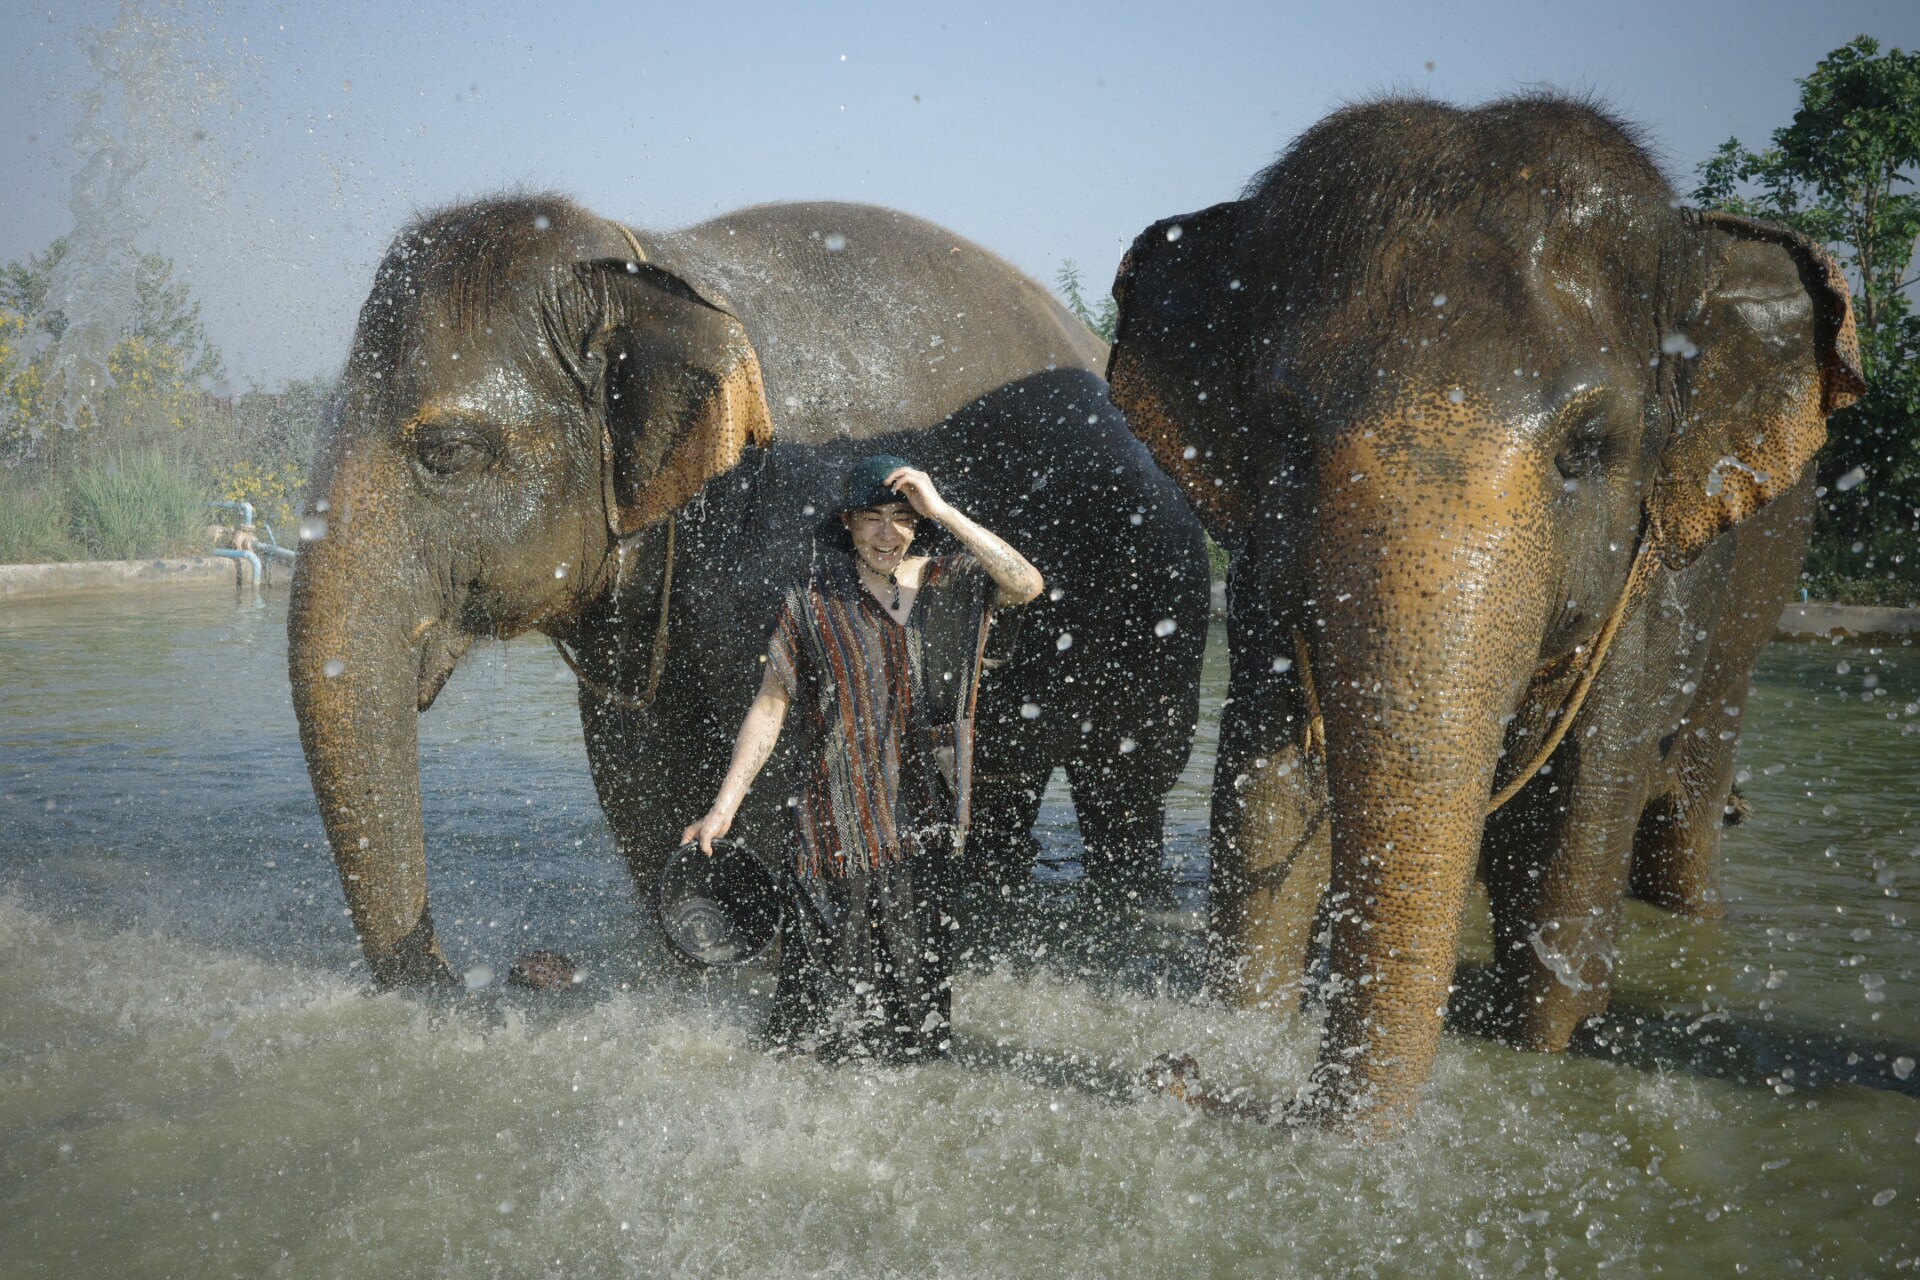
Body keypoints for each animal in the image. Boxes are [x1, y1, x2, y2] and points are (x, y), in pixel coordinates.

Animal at [288, 194, 1208, 989]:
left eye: (447, 452)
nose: (455, 980)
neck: (644, 266)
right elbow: (633, 778)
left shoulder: (780, 535)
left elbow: (783, 763)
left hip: (1160, 583)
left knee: (1128, 778)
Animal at [1106, 95, 1864, 1134]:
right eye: (1287, 439)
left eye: (1589, 448)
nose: (1174, 1073)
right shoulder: (1264, 573)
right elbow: (1268, 797)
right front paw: (1246, 1023)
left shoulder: (1650, 576)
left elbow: (1571, 841)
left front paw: (1547, 1053)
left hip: (1748, 616)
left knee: (1689, 807)